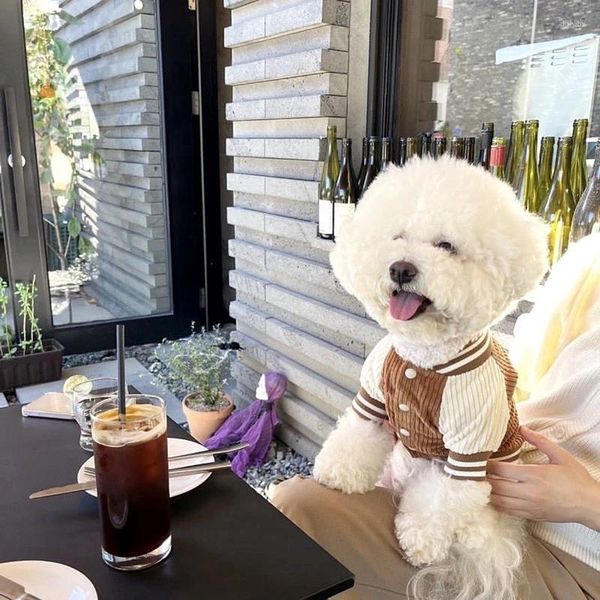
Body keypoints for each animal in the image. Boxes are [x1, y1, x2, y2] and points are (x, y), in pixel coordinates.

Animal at [314, 156, 548, 600]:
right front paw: (338, 472)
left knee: (481, 528)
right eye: (398, 236)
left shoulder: (468, 447)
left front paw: (421, 541)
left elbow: (443, 500)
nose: (401, 268)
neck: (424, 359)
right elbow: (355, 437)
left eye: (446, 246)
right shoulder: (374, 397)